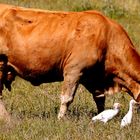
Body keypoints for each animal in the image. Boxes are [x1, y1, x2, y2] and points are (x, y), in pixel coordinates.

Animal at [0, 4, 140, 119]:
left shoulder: (94, 78)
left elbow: (100, 99)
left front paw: (101, 115)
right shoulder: (74, 70)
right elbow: (67, 98)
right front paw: (60, 119)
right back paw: (8, 119)